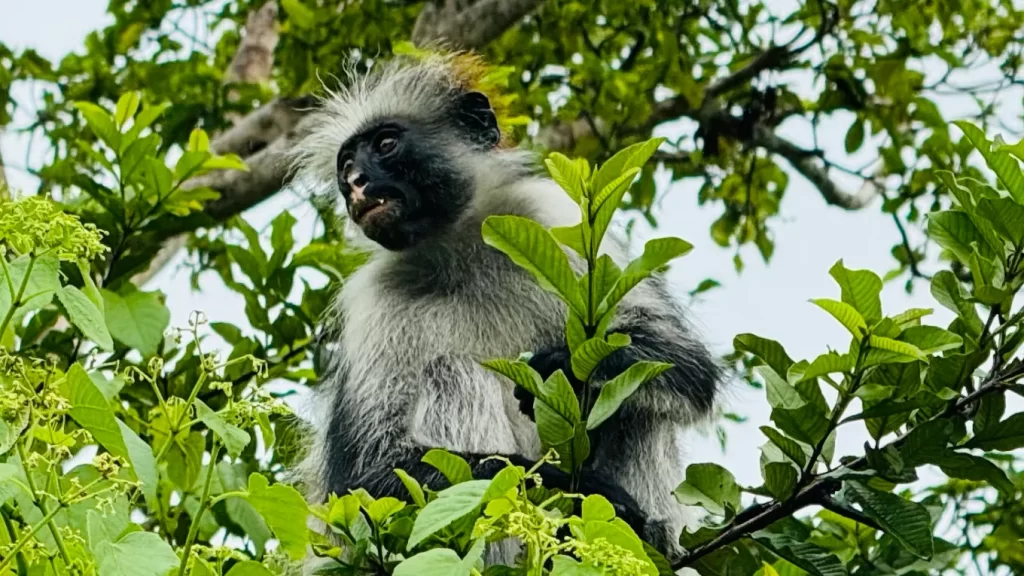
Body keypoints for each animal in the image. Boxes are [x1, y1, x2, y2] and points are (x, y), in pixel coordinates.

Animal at [291, 51, 723, 568]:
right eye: (346, 165)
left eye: (386, 144)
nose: (355, 184)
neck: (458, 252)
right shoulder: (371, 303)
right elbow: (361, 483)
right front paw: (568, 487)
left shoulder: (547, 216)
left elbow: (691, 367)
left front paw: (570, 369)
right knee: (452, 371)